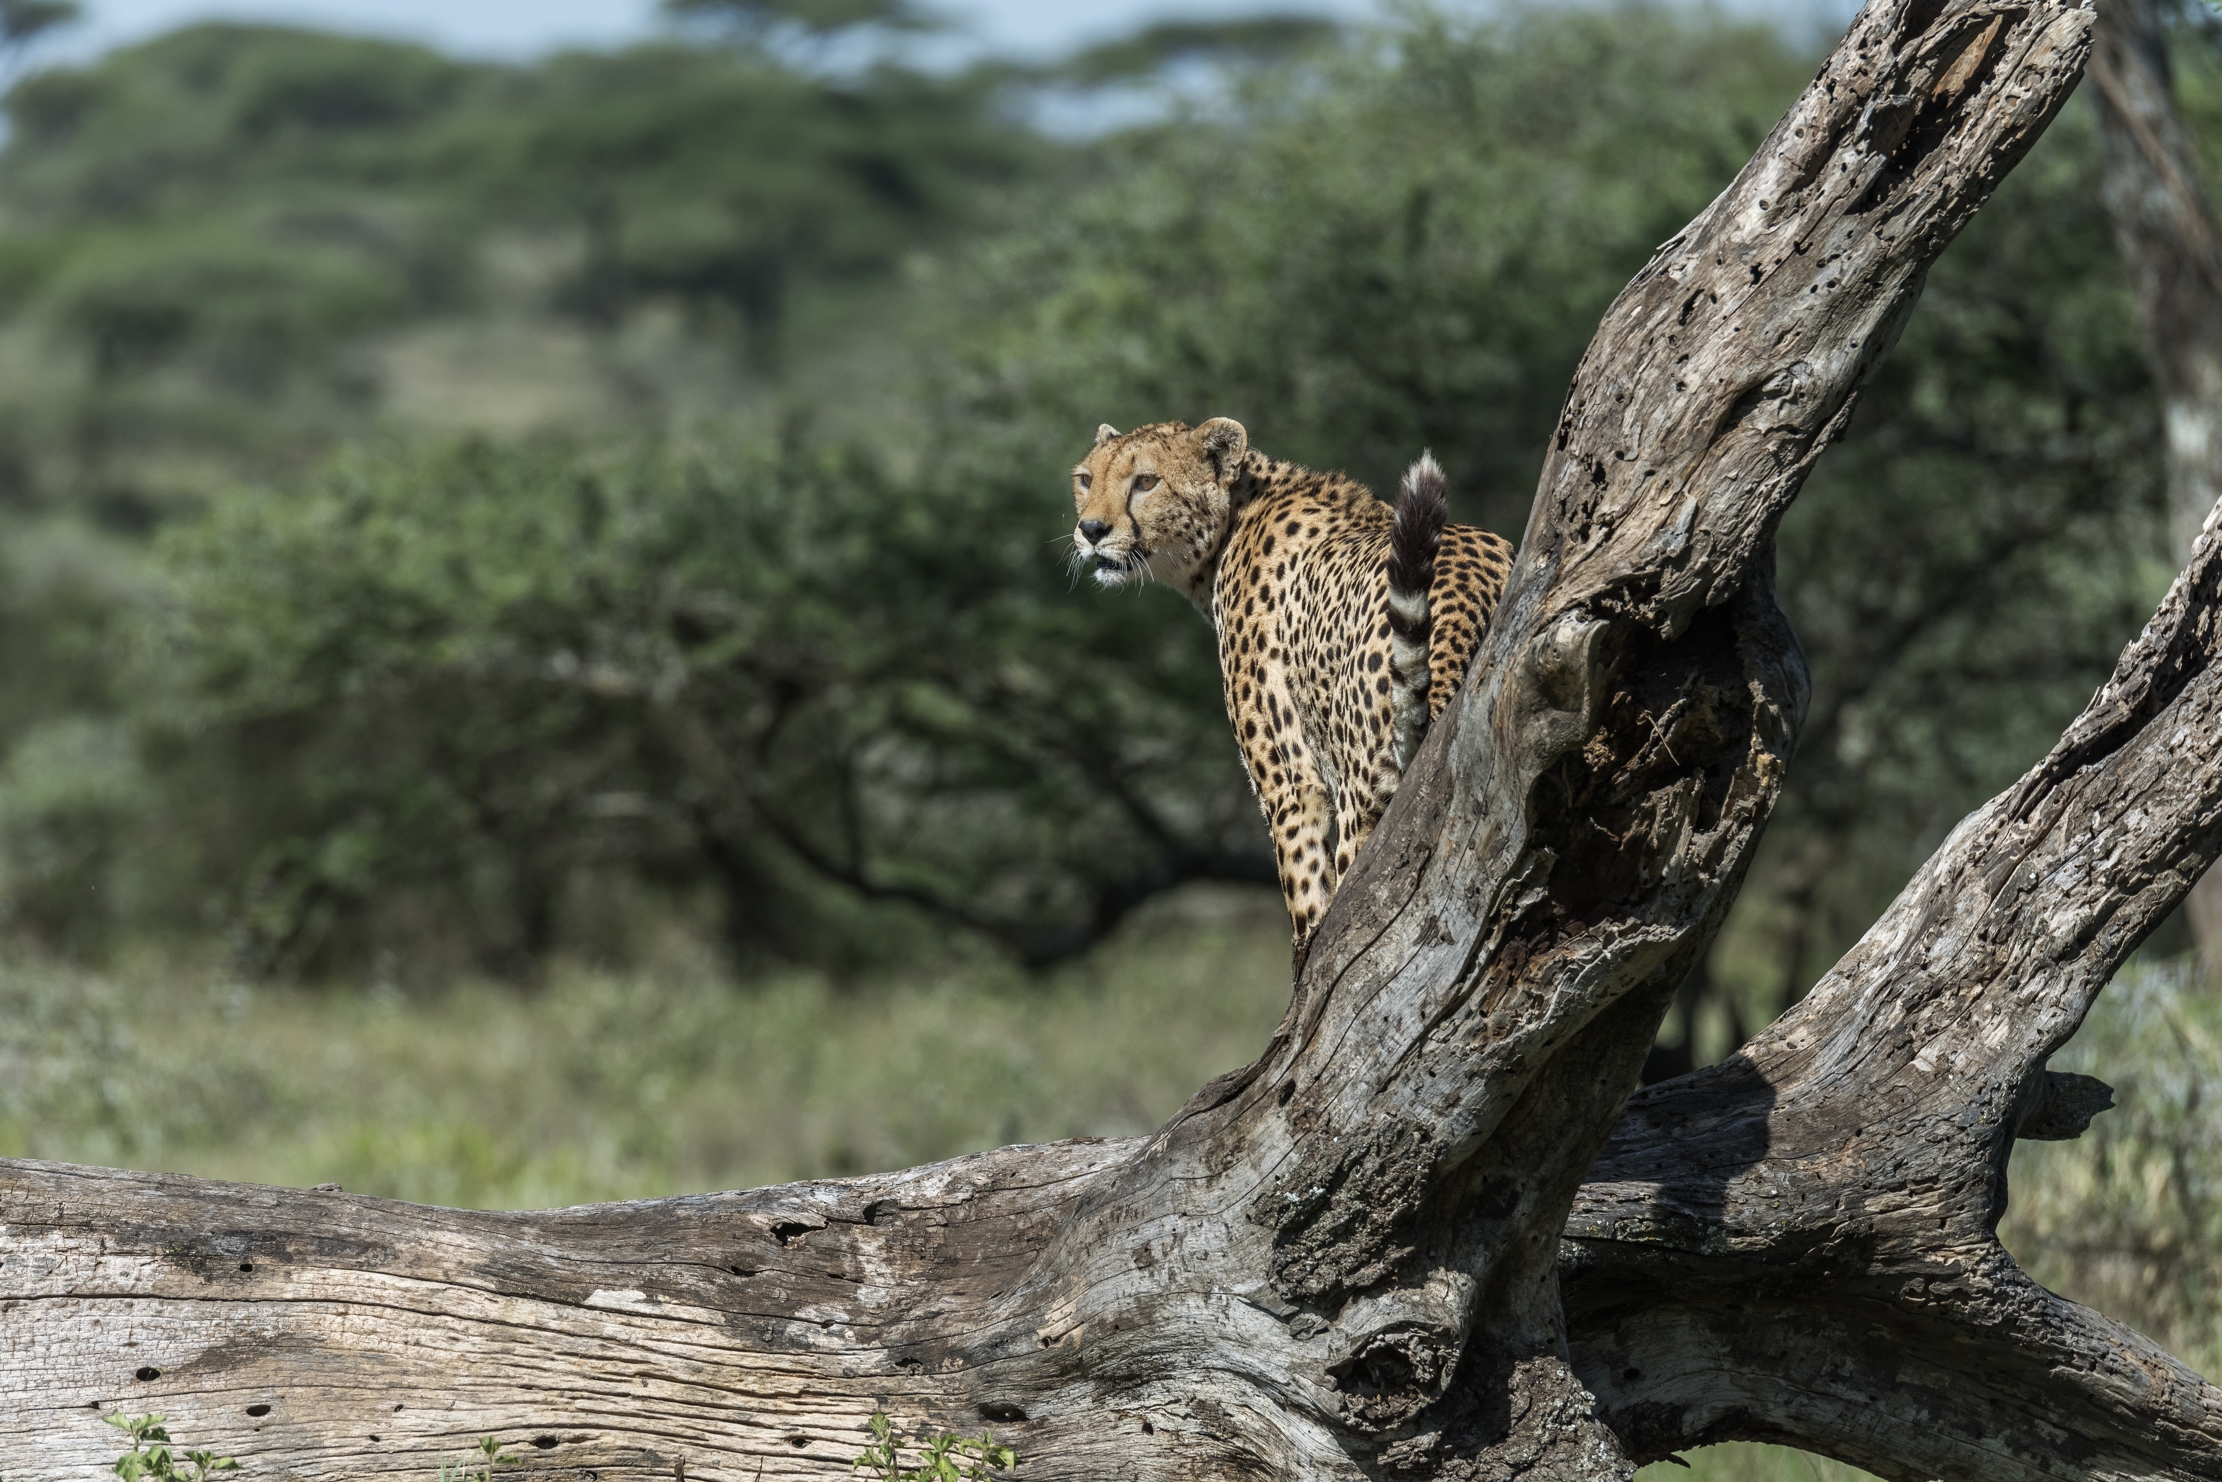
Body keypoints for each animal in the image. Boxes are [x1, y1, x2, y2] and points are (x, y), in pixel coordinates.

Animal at [1070, 417, 1514, 955]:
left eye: (1146, 482)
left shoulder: (1291, 783)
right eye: (1086, 480)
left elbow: (1306, 900)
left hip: (1361, 796)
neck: (1232, 521)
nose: (1091, 530)